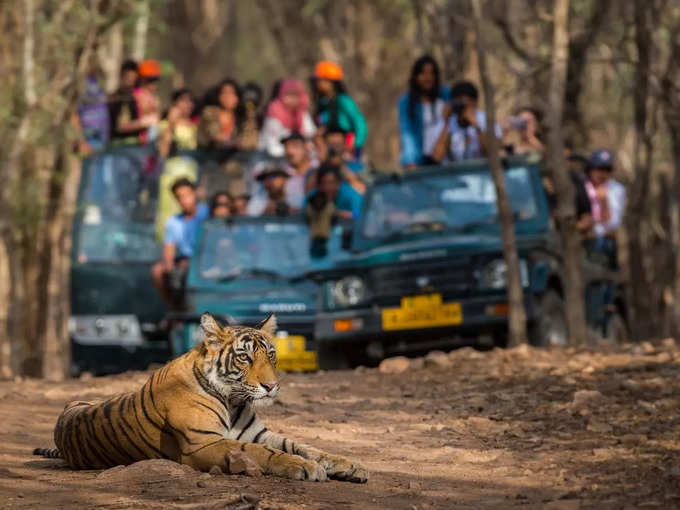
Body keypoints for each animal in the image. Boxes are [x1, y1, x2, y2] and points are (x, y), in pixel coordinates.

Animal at [33, 310, 366, 482]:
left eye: (271, 355)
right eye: (245, 358)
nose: (271, 387)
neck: (233, 400)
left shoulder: (259, 434)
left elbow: (305, 446)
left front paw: (350, 465)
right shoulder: (203, 443)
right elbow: (265, 453)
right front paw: (305, 468)